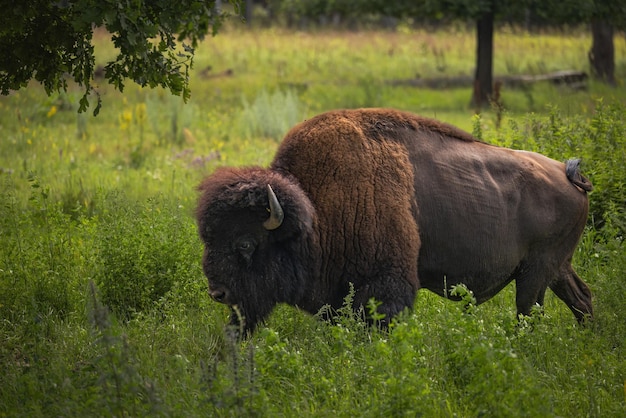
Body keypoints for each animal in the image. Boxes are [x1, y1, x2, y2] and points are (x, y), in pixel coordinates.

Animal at [194, 108, 588, 334]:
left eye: (245, 243)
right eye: (208, 239)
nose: (218, 293)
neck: (313, 210)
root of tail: (568, 175)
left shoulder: (385, 286)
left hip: (536, 272)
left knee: (530, 311)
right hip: (556, 268)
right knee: (582, 298)